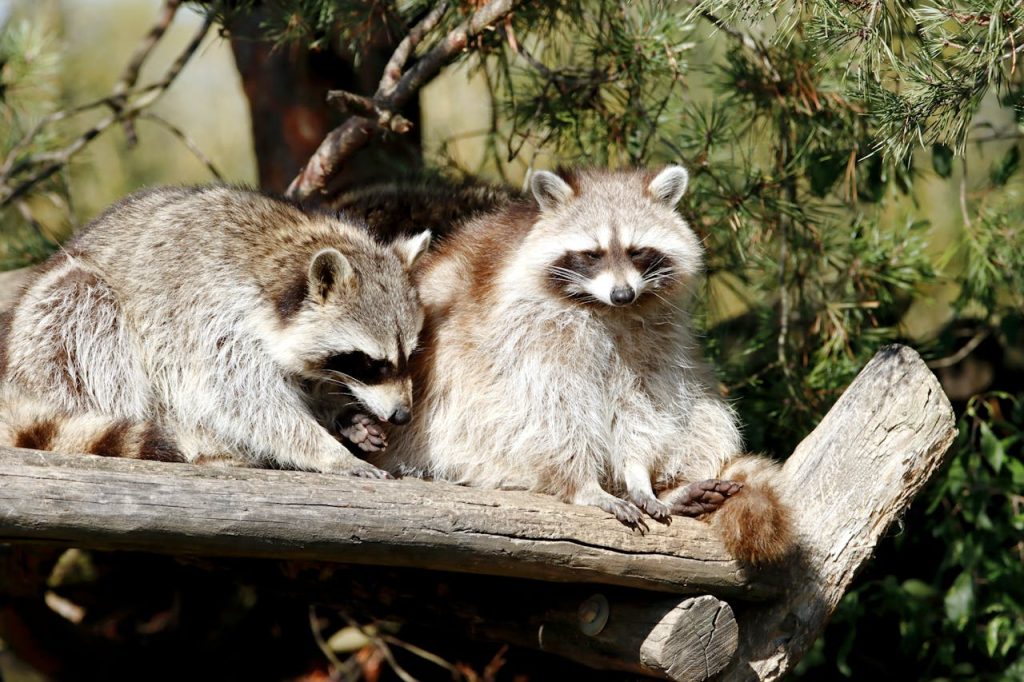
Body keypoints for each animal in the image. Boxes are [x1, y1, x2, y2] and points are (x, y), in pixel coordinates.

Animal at [0, 186, 430, 477]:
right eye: (372, 364)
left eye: (407, 356)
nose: (402, 415)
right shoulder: (212, 312)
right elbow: (240, 398)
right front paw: (326, 450)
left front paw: (342, 414)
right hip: (46, 337)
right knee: (89, 309)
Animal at [371, 167, 793, 564]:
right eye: (592, 254)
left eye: (637, 251)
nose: (623, 294)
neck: (606, 310)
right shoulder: (527, 337)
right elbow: (551, 413)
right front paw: (585, 485)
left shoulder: (654, 344)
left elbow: (640, 406)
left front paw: (638, 475)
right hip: (451, 434)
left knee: (704, 412)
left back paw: (672, 489)